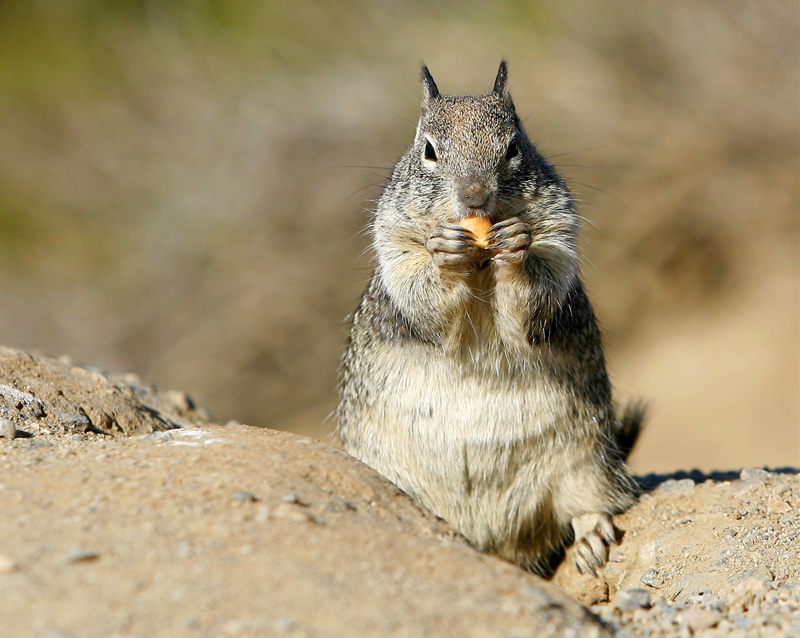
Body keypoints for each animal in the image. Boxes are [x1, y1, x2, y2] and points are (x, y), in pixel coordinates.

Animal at [338, 62, 644, 576]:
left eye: (514, 147)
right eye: (428, 150)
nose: (475, 197)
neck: (481, 264)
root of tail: (490, 540)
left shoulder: (559, 237)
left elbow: (536, 293)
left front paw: (517, 246)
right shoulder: (395, 245)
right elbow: (423, 297)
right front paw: (444, 253)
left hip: (587, 461)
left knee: (587, 501)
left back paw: (590, 537)